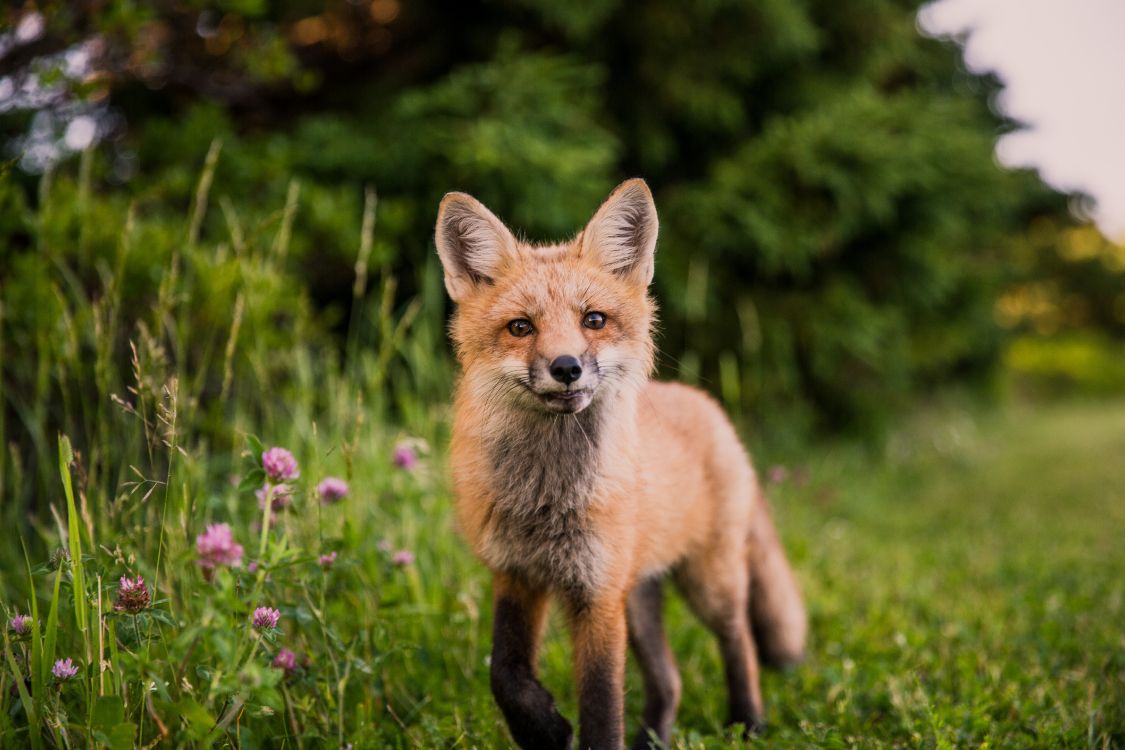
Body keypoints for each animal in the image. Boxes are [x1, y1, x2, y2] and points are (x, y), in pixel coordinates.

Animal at [435, 178, 808, 750]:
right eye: (520, 327)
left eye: (593, 320)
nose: (566, 367)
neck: (548, 499)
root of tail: (708, 406)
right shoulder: (517, 574)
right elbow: (505, 673)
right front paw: (544, 729)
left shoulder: (598, 594)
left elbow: (601, 704)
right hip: (640, 597)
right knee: (671, 679)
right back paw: (655, 737)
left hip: (708, 582)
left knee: (739, 639)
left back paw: (748, 722)